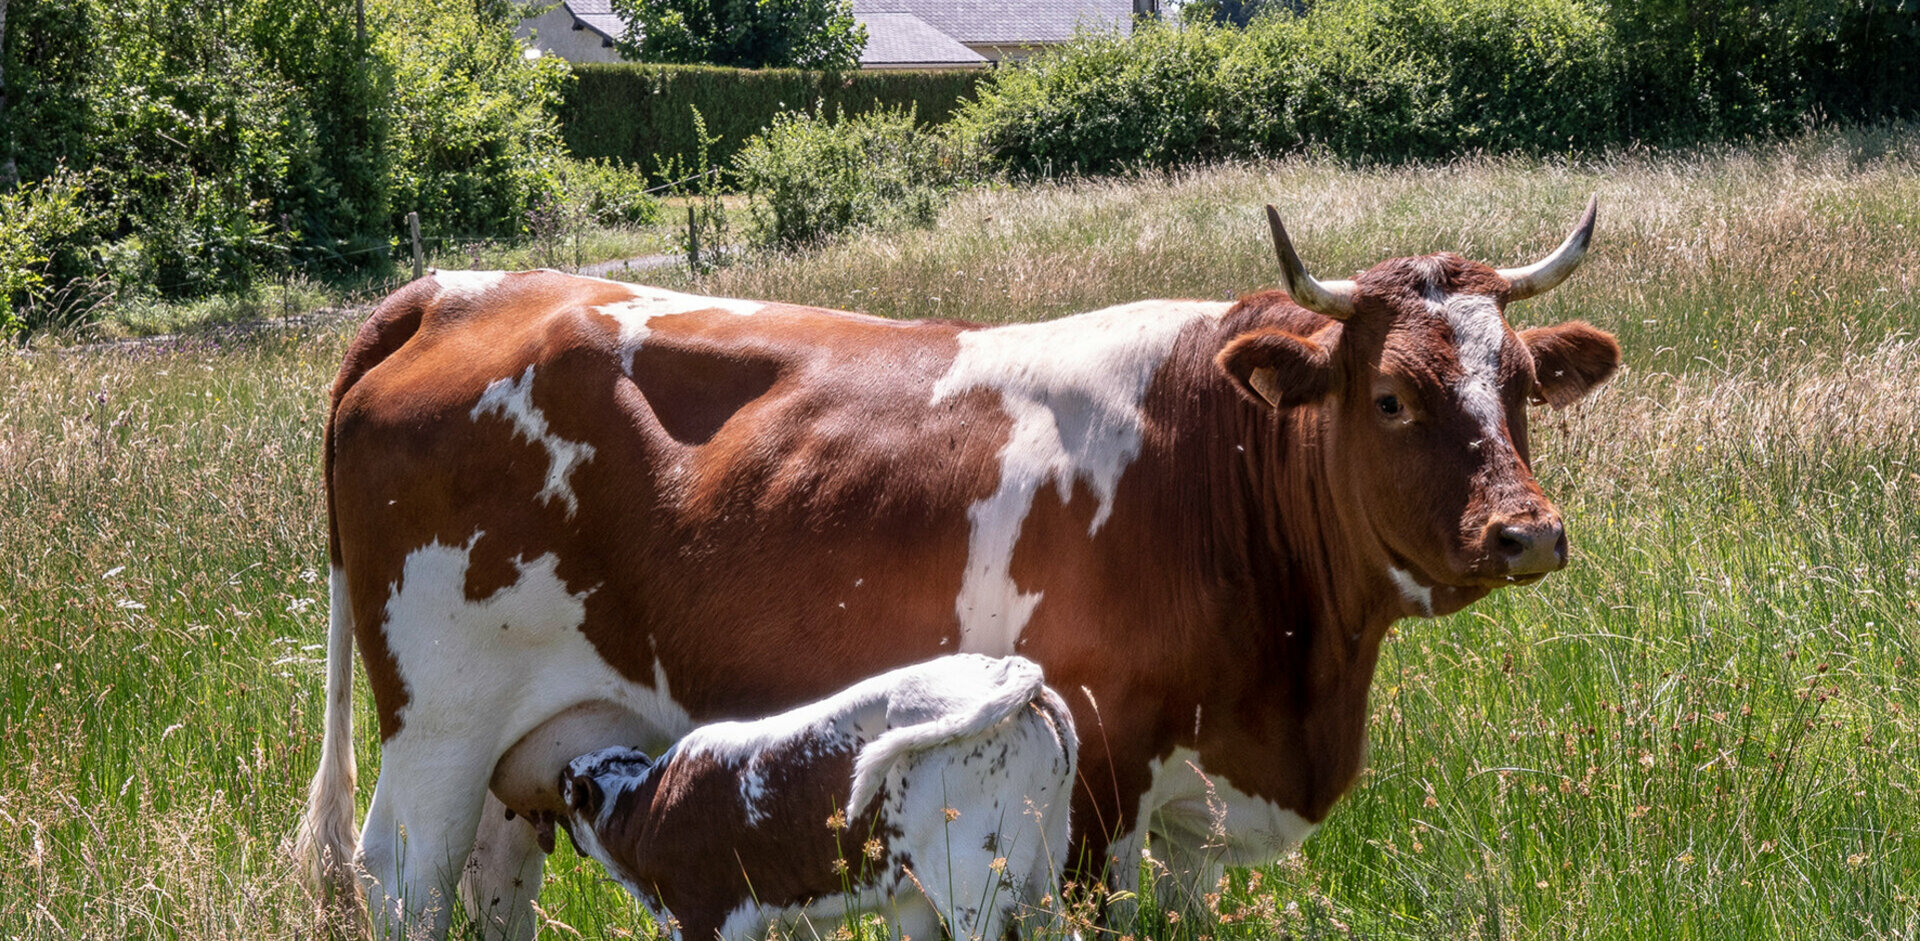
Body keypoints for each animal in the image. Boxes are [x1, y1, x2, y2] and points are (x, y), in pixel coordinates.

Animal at [556, 652, 1075, 941]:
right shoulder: (843, 912)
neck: (640, 811)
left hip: (970, 882)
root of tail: (1002, 669)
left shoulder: (703, 920)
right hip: (1042, 866)